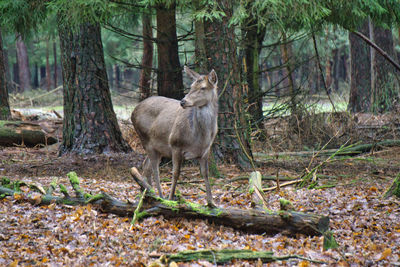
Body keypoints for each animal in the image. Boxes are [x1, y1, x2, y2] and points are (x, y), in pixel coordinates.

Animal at [131, 66, 219, 208]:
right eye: (191, 86)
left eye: (203, 88)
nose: (183, 101)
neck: (200, 137)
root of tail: (133, 111)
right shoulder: (175, 144)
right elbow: (176, 173)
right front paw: (171, 198)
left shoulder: (206, 150)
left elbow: (205, 173)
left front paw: (211, 202)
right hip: (145, 139)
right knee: (155, 169)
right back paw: (160, 196)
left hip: (157, 148)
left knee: (146, 166)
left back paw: (146, 193)